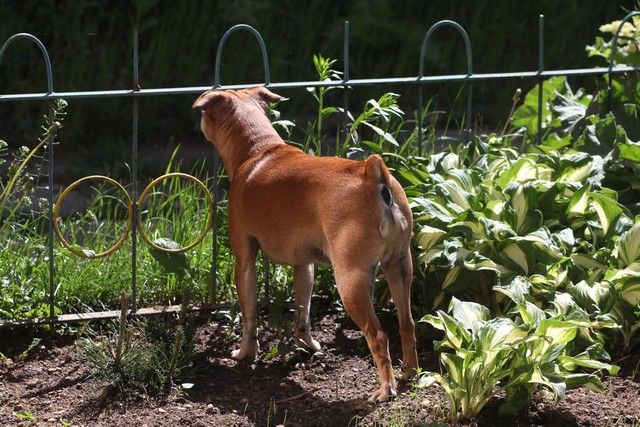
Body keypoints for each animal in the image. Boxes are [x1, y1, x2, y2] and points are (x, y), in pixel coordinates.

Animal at [193, 86, 418, 402]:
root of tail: (373, 176)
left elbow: (249, 315)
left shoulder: (244, 261)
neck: (258, 150)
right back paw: (410, 371)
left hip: (351, 279)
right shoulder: (304, 265)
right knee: (406, 323)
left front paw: (245, 353)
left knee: (378, 335)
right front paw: (307, 344)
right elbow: (303, 309)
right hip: (399, 267)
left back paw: (386, 389)